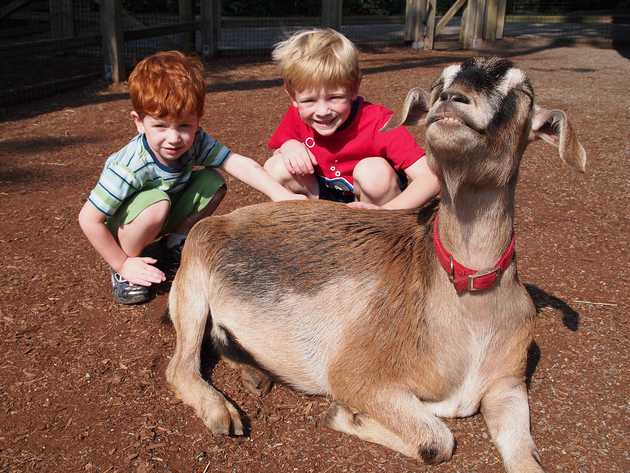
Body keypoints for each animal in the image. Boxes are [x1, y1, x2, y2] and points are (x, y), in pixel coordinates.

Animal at [167, 57, 588, 470]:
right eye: (442, 81)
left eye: (521, 92)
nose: (452, 100)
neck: (470, 313)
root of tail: (226, 221)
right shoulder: (357, 375)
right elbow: (436, 441)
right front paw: (343, 415)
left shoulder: (508, 383)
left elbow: (524, 457)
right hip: (193, 285)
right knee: (181, 365)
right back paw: (223, 412)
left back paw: (255, 375)